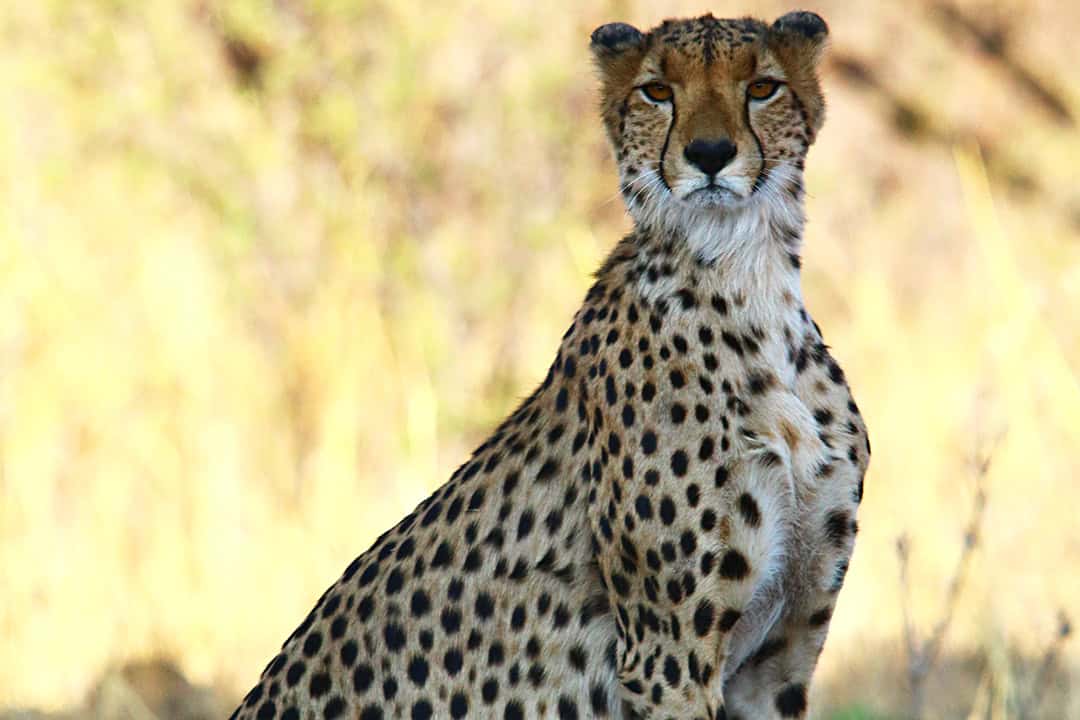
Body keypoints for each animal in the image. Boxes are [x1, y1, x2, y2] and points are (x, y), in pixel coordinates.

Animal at [231, 10, 870, 720]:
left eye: (762, 87)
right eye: (657, 91)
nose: (709, 154)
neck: (746, 279)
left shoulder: (776, 660)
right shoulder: (668, 657)